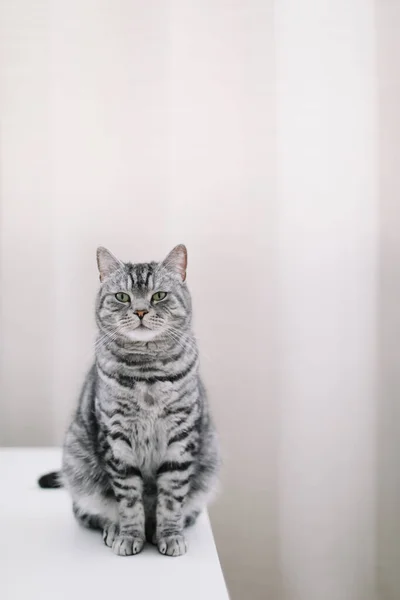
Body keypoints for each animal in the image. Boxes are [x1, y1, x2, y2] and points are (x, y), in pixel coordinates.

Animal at [39, 244, 220, 556]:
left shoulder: (181, 435)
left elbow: (171, 497)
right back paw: (113, 528)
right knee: (89, 511)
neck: (147, 375)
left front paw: (169, 534)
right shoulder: (116, 437)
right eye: (122, 296)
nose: (140, 310)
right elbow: (128, 500)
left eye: (159, 295)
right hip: (77, 463)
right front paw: (129, 535)